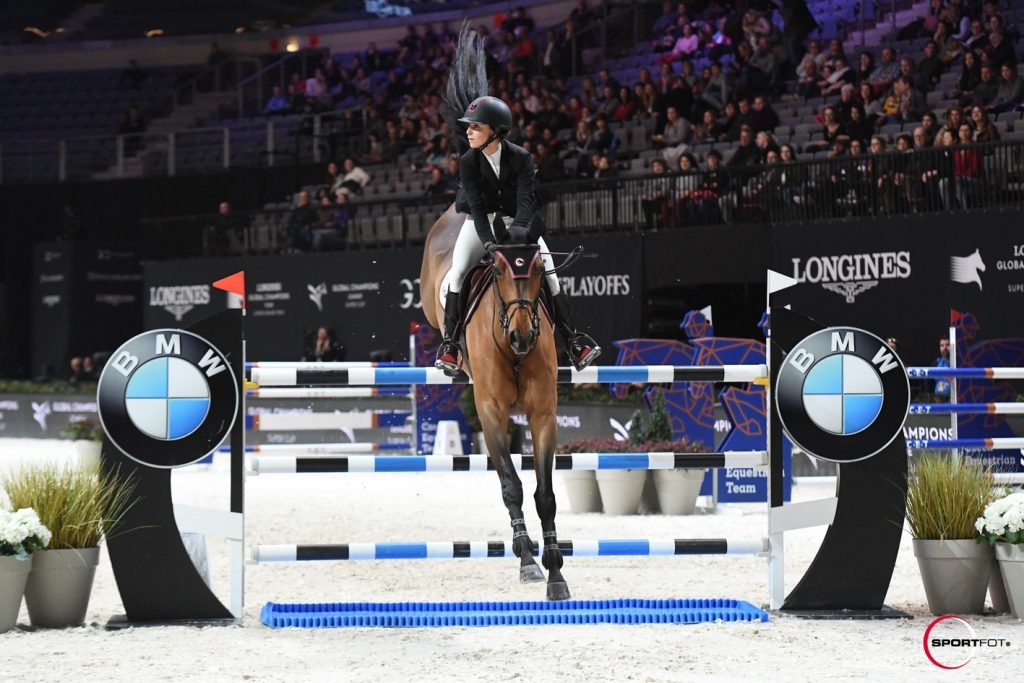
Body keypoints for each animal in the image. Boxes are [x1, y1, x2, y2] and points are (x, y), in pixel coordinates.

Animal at [420, 206, 570, 601]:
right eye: (499, 271)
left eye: (539, 270)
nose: (522, 336)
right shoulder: (490, 414)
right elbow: (511, 485)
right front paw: (527, 560)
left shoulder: (543, 415)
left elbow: (545, 494)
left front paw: (555, 572)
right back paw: (447, 353)